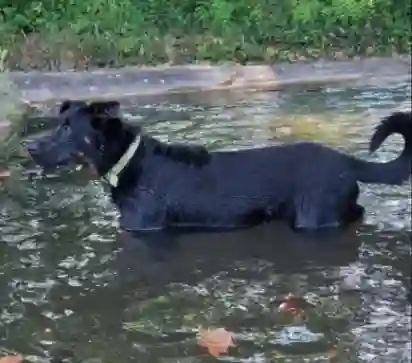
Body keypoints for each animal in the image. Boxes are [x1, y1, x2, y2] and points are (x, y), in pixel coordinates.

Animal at [27, 100, 410, 233]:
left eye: (67, 129)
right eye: (56, 123)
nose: (29, 147)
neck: (129, 159)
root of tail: (344, 159)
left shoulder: (144, 229)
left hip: (314, 216)